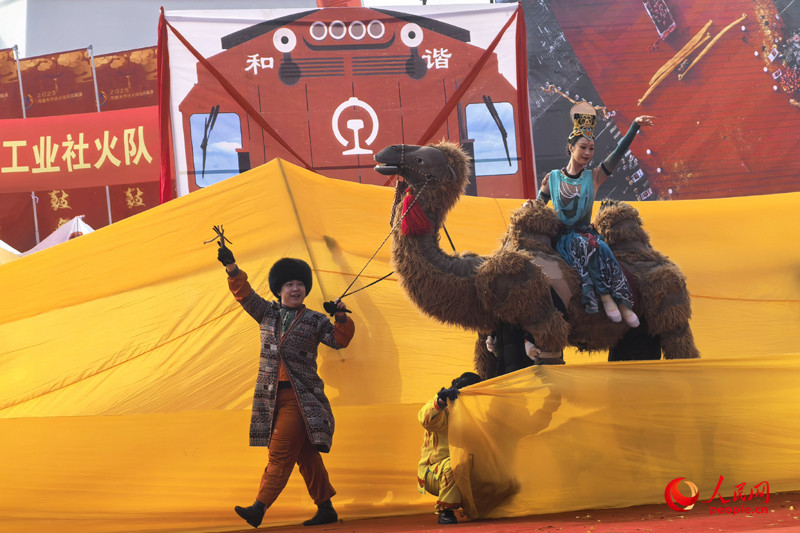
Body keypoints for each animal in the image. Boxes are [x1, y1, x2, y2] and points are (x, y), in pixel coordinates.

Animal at [374, 141, 699, 378]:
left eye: (420, 160)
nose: (385, 151)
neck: (473, 276)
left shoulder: (535, 307)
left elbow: (546, 357)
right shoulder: (490, 332)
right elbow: (490, 367)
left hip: (668, 297)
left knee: (680, 343)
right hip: (637, 328)